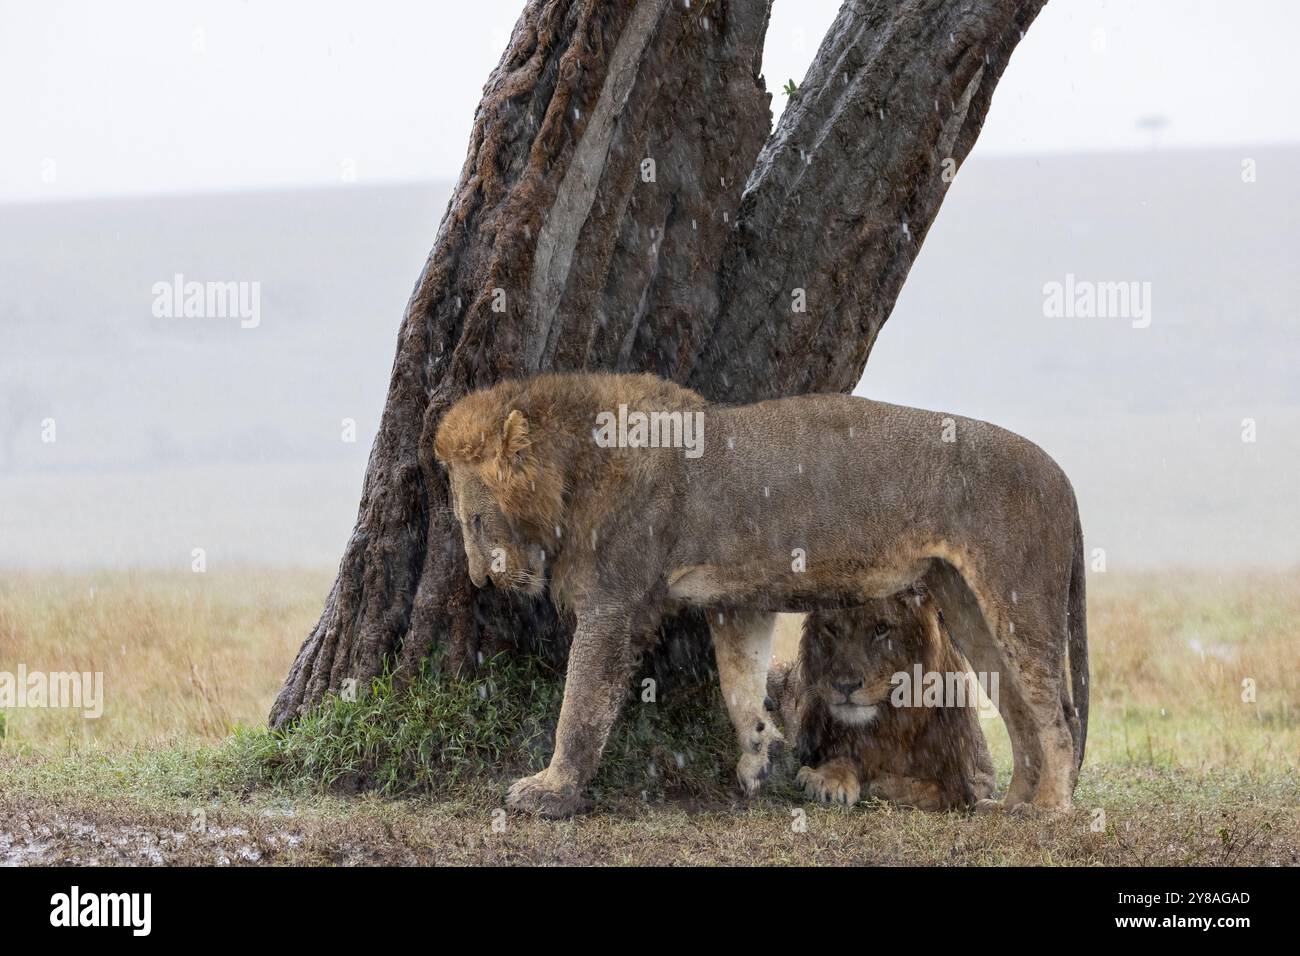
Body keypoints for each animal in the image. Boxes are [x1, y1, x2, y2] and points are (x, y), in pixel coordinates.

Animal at [766, 586, 997, 811]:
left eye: (881, 628)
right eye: (831, 628)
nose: (845, 685)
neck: (894, 724)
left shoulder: (979, 776)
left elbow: (941, 789)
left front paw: (877, 784)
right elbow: (842, 757)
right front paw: (827, 779)